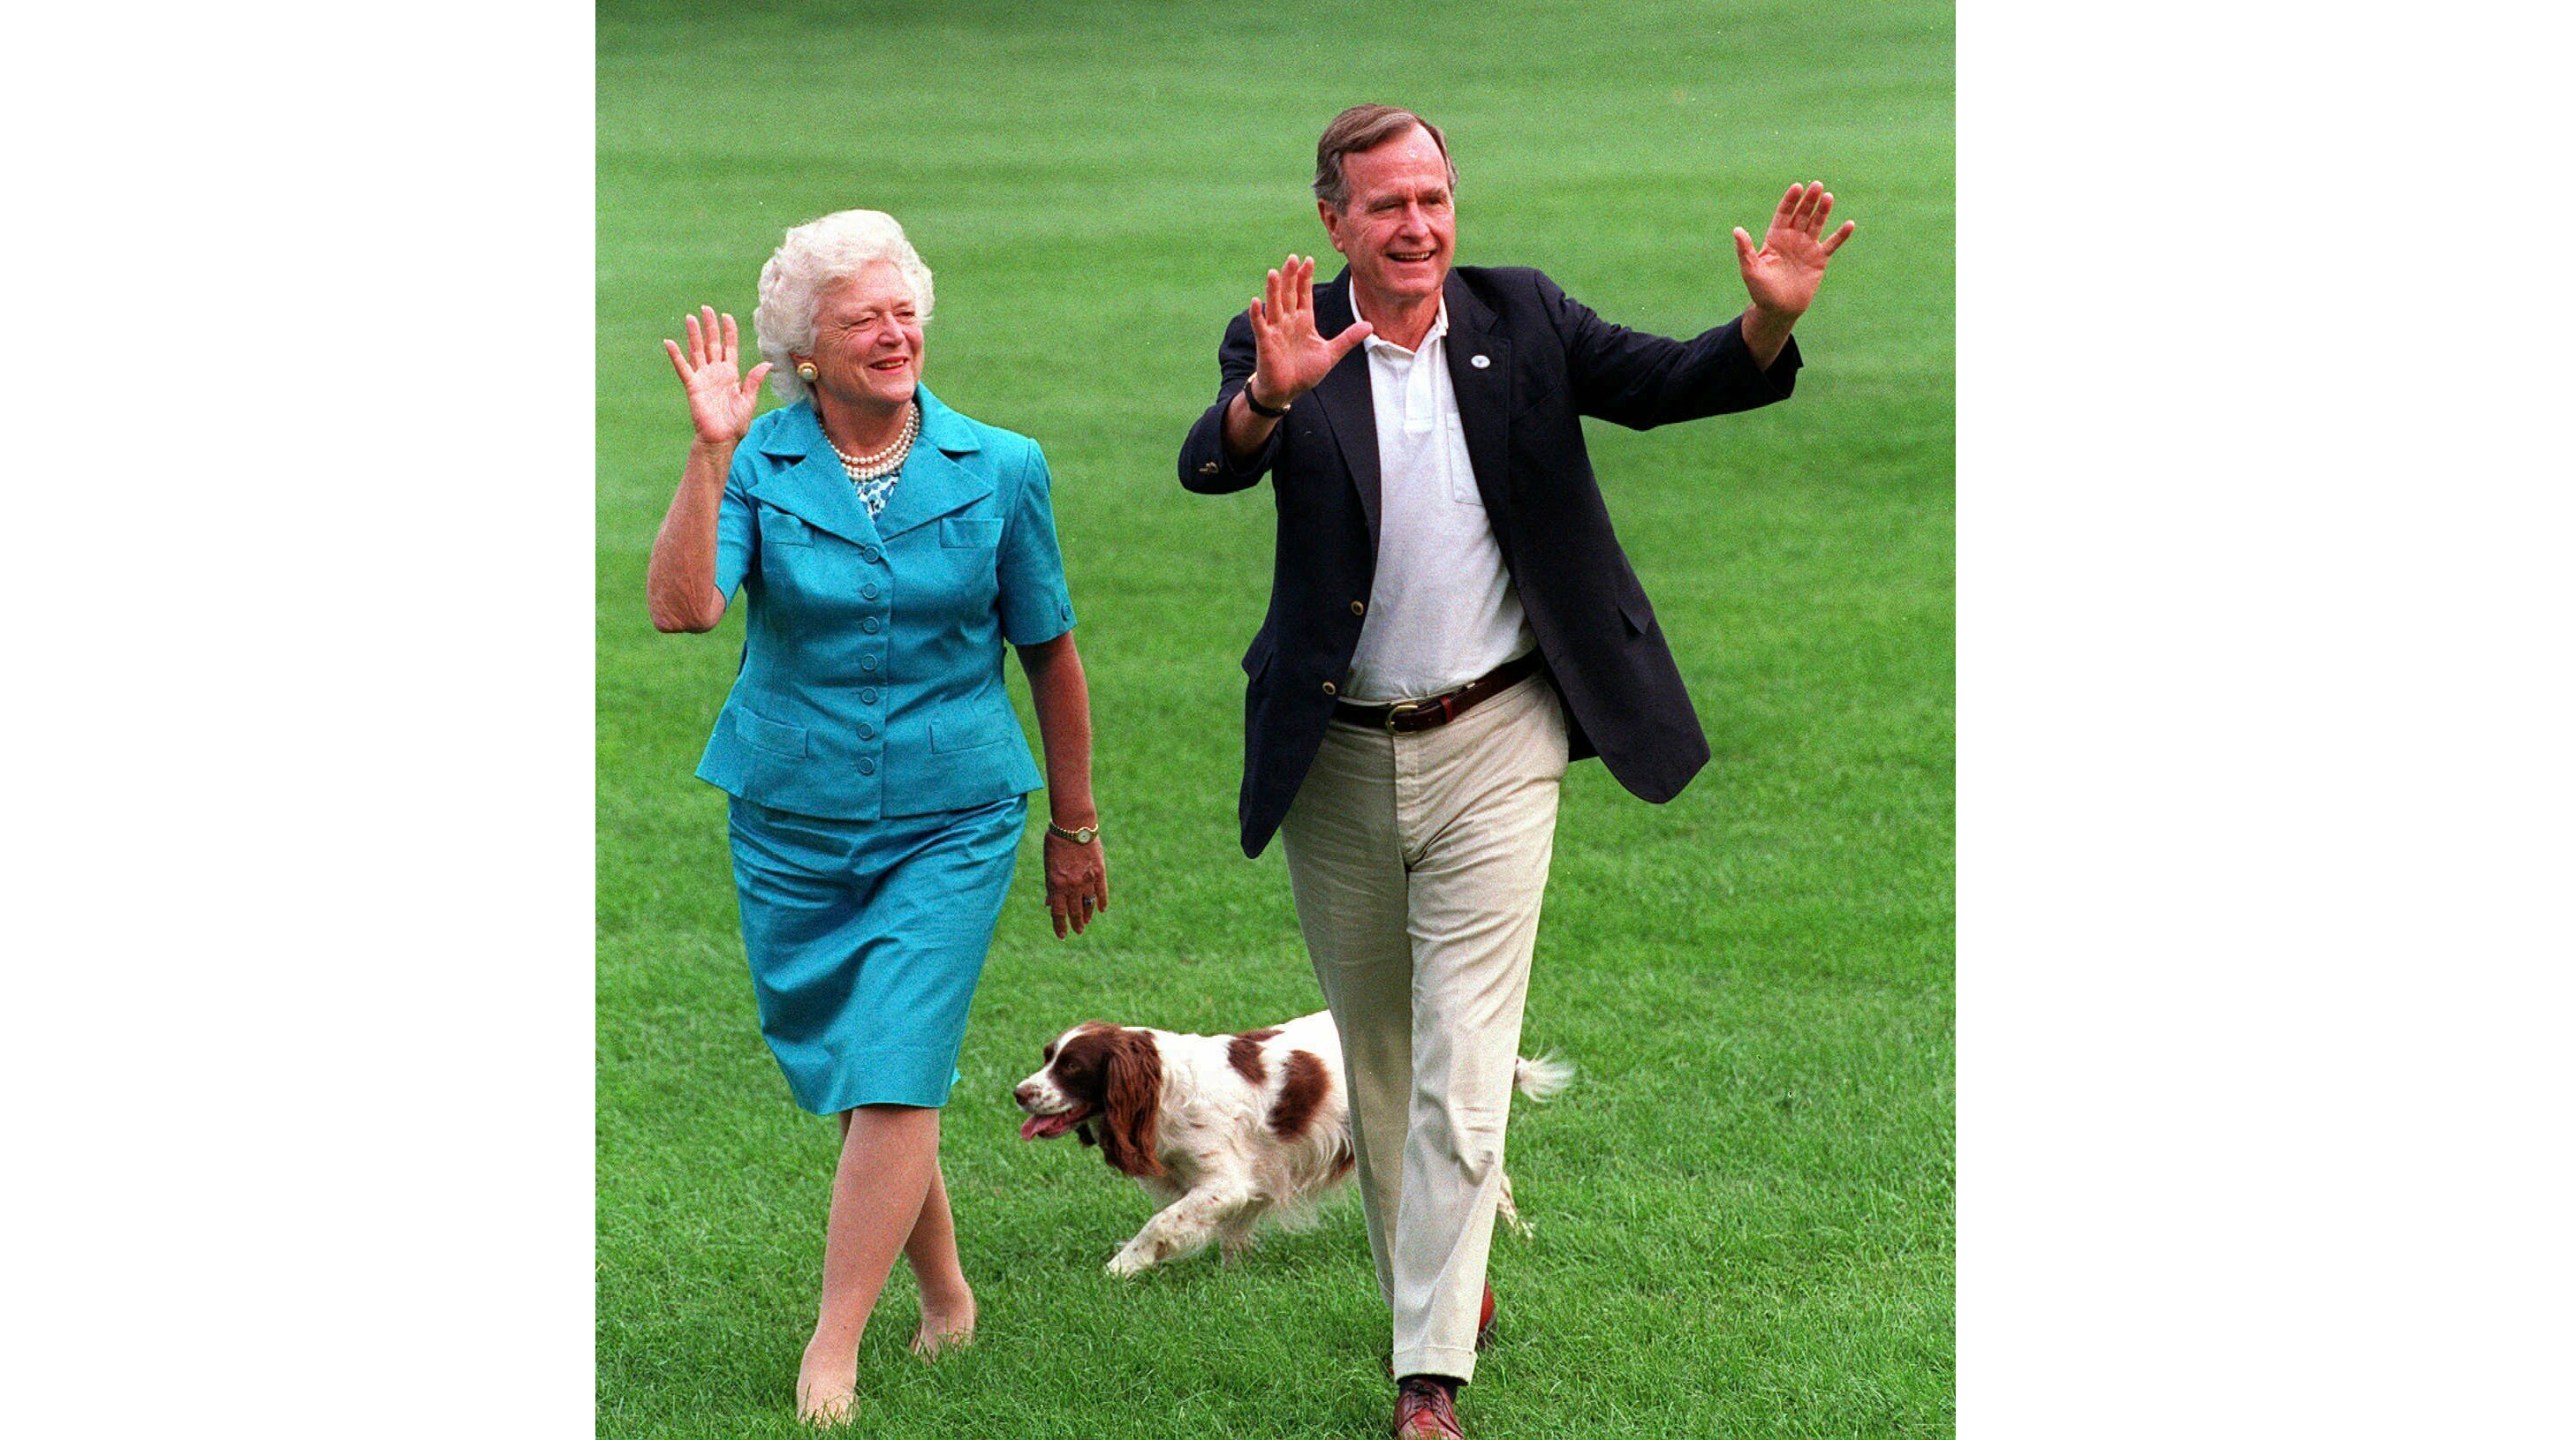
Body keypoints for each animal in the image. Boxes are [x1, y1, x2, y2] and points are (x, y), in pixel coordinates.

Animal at [1008, 1009, 1566, 1265]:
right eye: (1047, 1056)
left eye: (1072, 1067)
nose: (1019, 1092)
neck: (1166, 1085)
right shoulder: (1244, 1179)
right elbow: (1229, 1234)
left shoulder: (1225, 1181)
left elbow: (1161, 1223)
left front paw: (1122, 1266)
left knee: (1497, 1185)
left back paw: (1519, 1237)